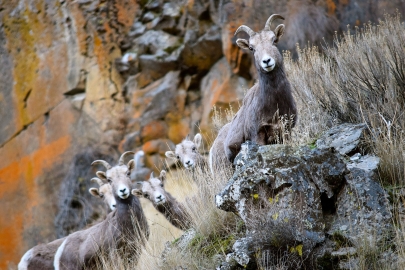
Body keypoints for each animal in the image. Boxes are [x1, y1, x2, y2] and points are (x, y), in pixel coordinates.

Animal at [210, 14, 296, 169]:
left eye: (274, 40)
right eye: (251, 48)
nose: (267, 61)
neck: (275, 104)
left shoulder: (286, 131)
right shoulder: (258, 136)